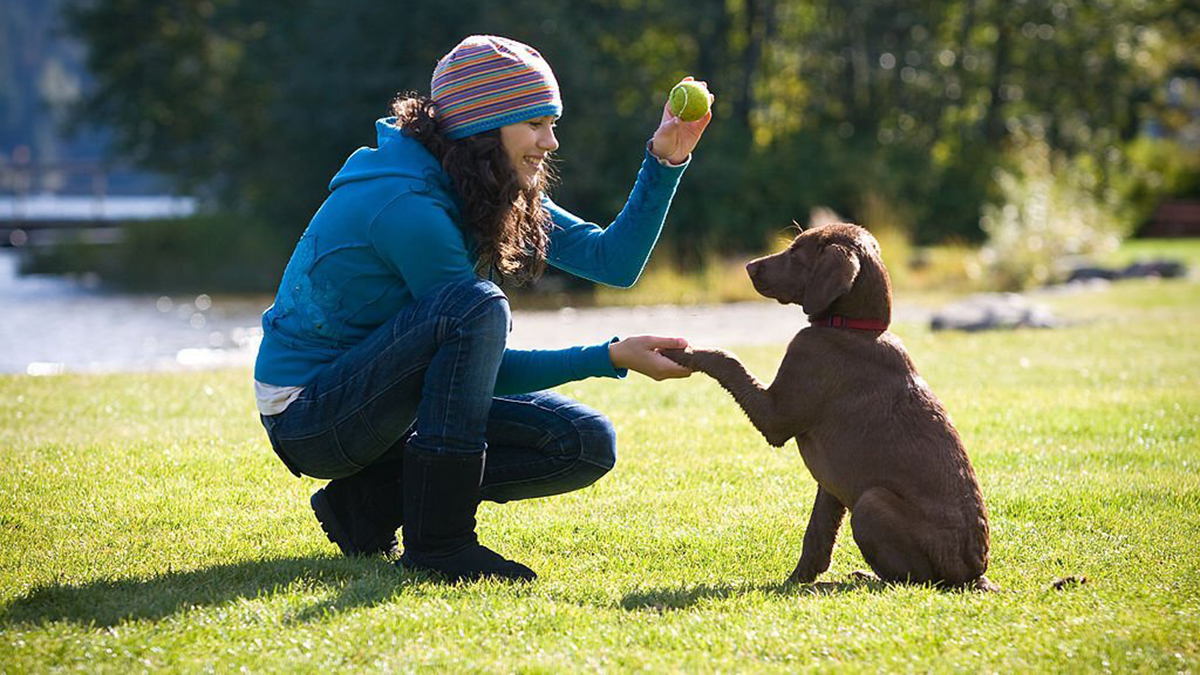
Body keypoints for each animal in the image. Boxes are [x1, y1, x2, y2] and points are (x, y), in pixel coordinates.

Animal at [667, 222, 993, 588]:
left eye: (797, 252)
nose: (749, 267)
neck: (855, 329)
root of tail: (973, 574)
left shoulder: (776, 417)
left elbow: (728, 360)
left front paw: (683, 352)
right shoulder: (831, 483)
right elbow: (818, 533)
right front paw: (798, 579)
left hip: (870, 503)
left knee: (912, 580)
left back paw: (864, 578)